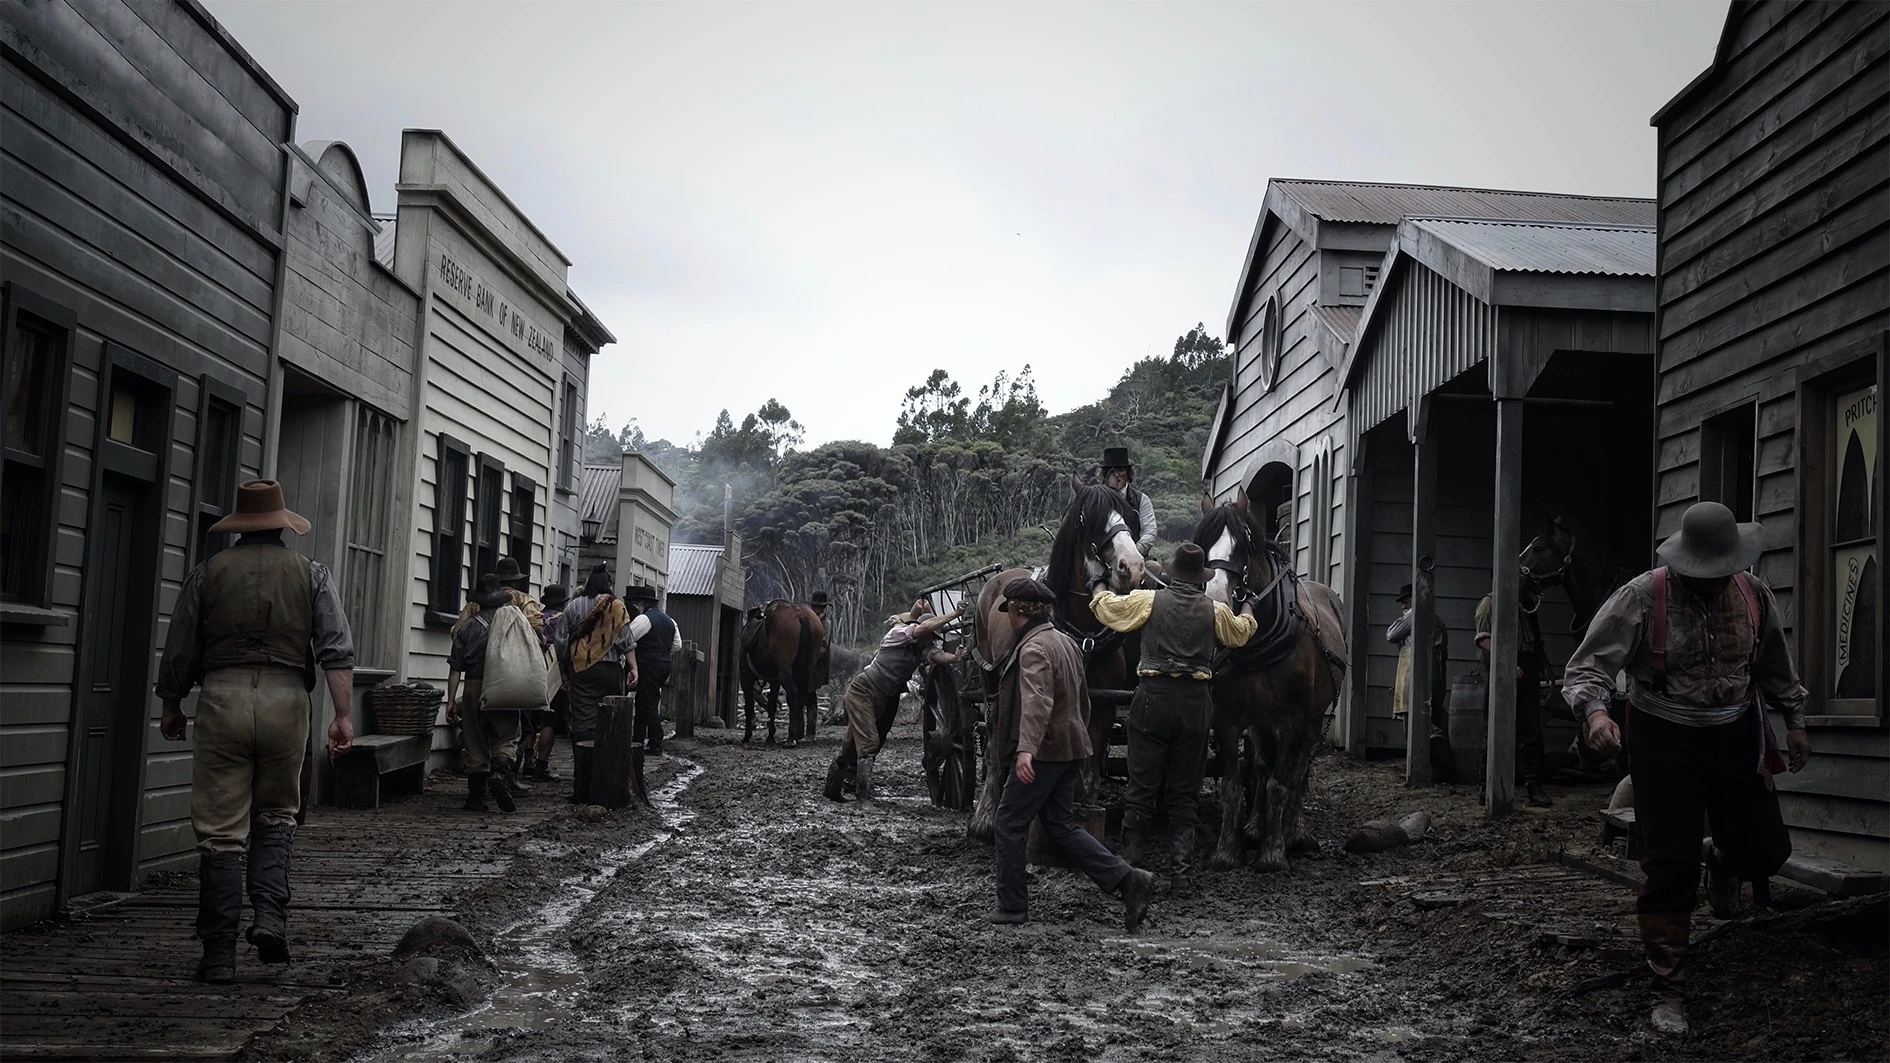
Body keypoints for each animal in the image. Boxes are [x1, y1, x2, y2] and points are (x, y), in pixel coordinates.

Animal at [737, 597, 827, 745]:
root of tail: (801, 614)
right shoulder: (775, 681)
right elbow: (772, 705)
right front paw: (770, 736)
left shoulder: (745, 677)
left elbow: (749, 706)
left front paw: (747, 736)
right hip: (806, 669)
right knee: (801, 697)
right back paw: (796, 735)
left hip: (785, 672)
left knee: (794, 695)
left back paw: (791, 739)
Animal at [967, 476, 1141, 839]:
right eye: (1086, 518)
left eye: (1129, 515)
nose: (1130, 567)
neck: (1083, 635)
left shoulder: (1102, 703)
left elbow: (1089, 763)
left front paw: (1083, 812)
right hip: (991, 680)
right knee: (992, 738)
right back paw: (985, 815)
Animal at [1194, 487, 1345, 870]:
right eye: (1201, 543)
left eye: (1243, 544)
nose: (1214, 599)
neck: (1256, 643)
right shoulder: (1228, 719)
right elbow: (1233, 784)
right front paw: (1228, 850)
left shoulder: (1290, 719)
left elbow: (1281, 783)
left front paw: (1274, 853)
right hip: (1259, 723)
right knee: (1261, 766)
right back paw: (1254, 827)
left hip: (1313, 718)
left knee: (1297, 769)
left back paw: (1294, 833)